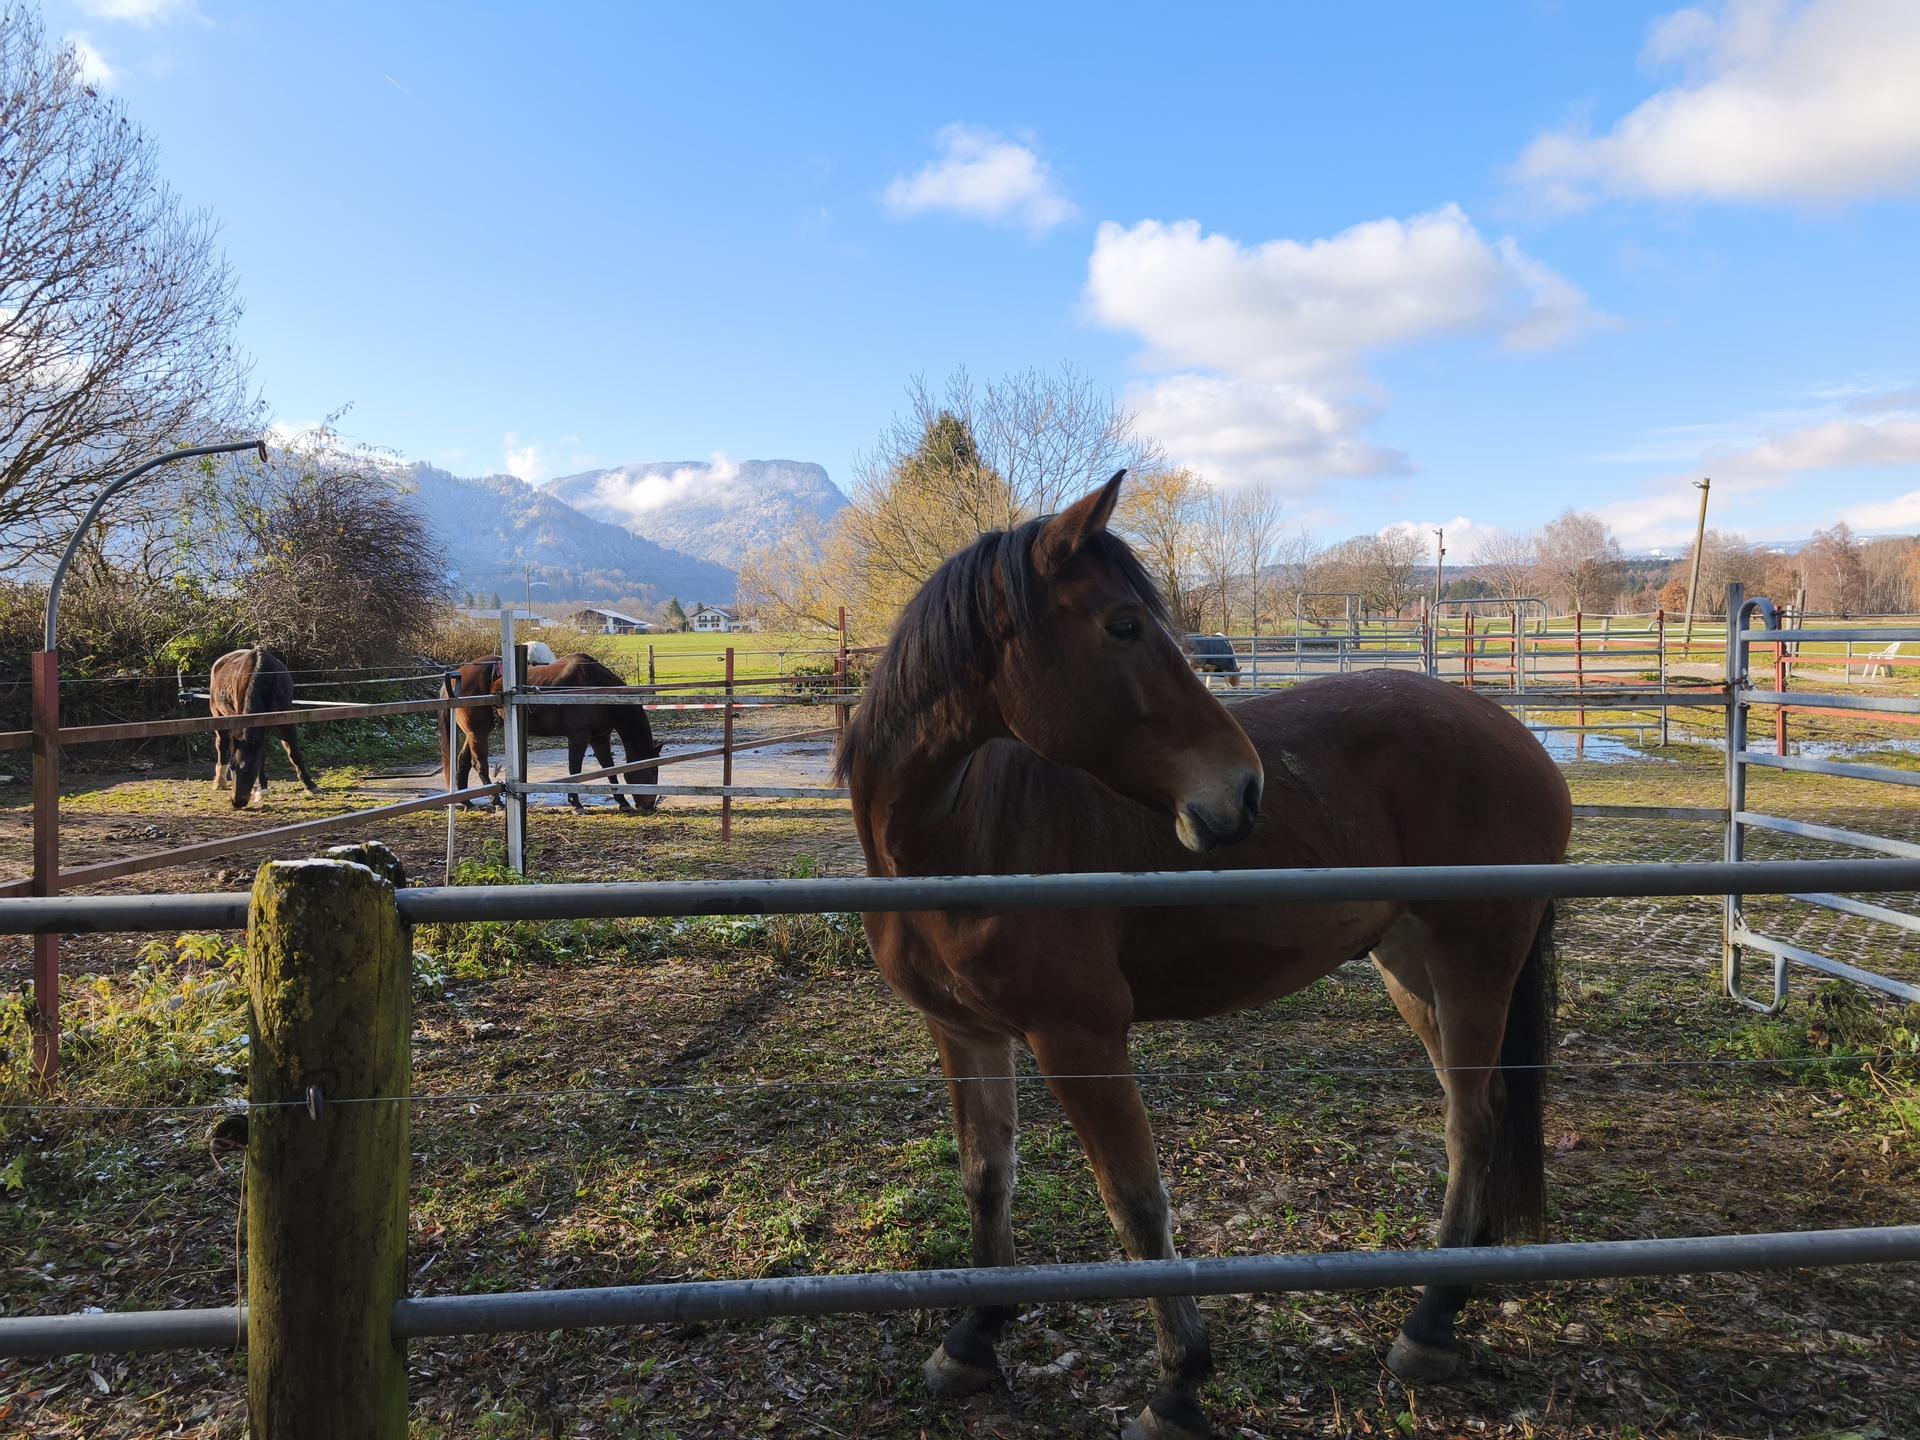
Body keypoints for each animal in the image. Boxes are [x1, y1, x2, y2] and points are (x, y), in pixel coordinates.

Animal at [209, 647, 319, 810]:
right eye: (233, 768)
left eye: (250, 770)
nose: (236, 802)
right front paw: (261, 789)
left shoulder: (285, 723)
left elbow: (294, 754)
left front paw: (310, 785)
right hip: (219, 717)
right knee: (221, 745)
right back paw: (219, 781)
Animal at [443, 650, 661, 813]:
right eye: (650, 770)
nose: (649, 805)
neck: (596, 686)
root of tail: (458, 674)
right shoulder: (579, 735)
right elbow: (575, 769)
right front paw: (576, 805)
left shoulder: (599, 737)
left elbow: (608, 767)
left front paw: (622, 801)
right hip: (477, 732)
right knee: (479, 764)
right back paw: (496, 802)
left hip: (474, 733)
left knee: (463, 761)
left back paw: (468, 802)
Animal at [835, 471, 1571, 1439]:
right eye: (1122, 626)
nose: (1243, 791)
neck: (962, 834)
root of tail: (1515, 733)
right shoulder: (964, 1032)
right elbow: (987, 1177)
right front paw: (973, 1340)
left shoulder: (1079, 1037)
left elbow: (1137, 1203)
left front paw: (1178, 1382)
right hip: (1412, 968)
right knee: (1478, 1115)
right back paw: (1456, 1297)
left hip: (1473, 963)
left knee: (1472, 1126)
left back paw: (1427, 1323)